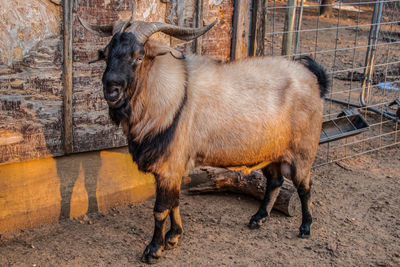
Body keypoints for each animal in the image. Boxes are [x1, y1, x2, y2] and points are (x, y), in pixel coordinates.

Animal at [79, 3, 328, 264]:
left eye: (138, 56)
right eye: (106, 53)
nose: (111, 90)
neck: (173, 96)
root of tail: (315, 80)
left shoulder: (169, 166)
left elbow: (161, 209)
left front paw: (154, 249)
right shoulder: (172, 168)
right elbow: (175, 203)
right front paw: (174, 237)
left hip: (303, 151)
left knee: (305, 186)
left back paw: (305, 227)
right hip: (270, 150)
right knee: (276, 181)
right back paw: (258, 219)